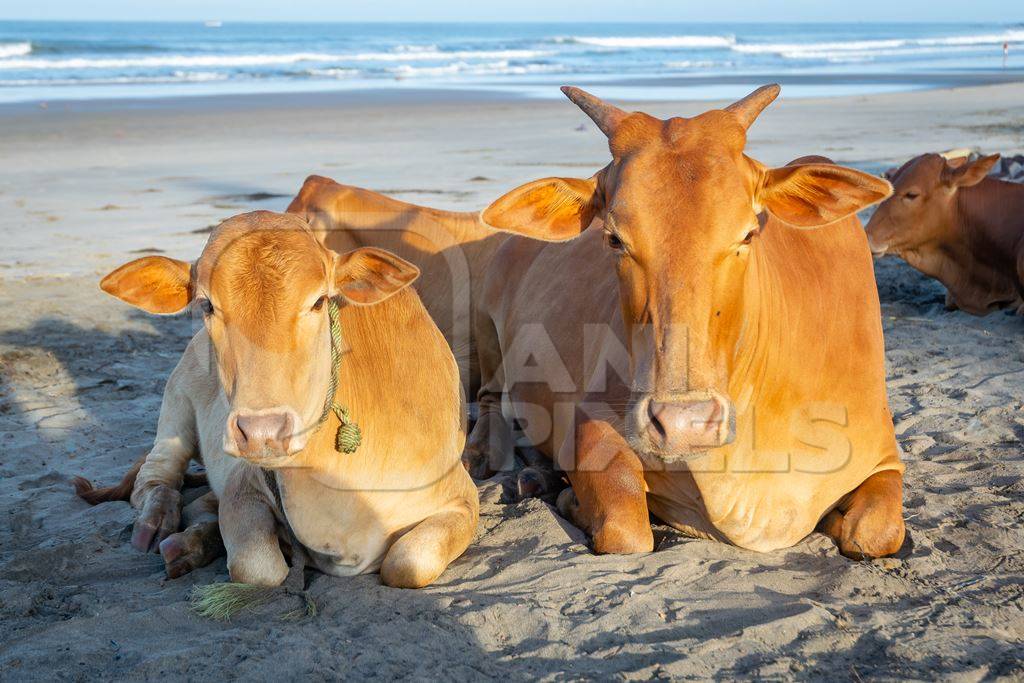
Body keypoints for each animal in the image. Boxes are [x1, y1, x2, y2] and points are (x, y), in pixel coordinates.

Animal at [87, 211, 475, 589]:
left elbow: (407, 564)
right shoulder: (244, 485)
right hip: (175, 405)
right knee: (155, 477)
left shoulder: (460, 497)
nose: (262, 433)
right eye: (207, 305)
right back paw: (158, 526)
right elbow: (257, 567)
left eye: (319, 301)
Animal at [471, 85, 905, 557]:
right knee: (489, 397)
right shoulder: (591, 418)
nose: (683, 425)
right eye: (614, 238)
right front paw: (571, 498)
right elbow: (626, 527)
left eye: (748, 233)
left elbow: (876, 532)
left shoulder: (883, 454)